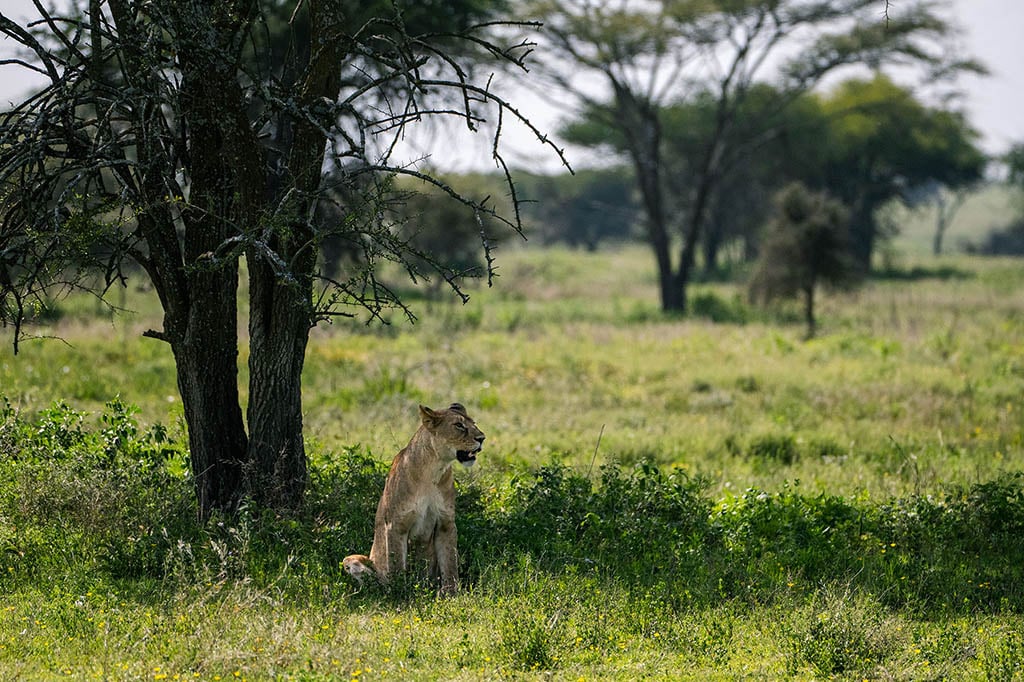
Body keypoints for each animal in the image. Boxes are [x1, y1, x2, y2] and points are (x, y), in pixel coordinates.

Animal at [343, 403, 484, 593]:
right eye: (459, 425)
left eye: (473, 423)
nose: (482, 438)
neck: (433, 469)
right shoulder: (396, 524)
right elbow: (396, 564)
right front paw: (400, 593)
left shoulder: (446, 523)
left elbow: (450, 563)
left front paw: (451, 593)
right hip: (352, 559)